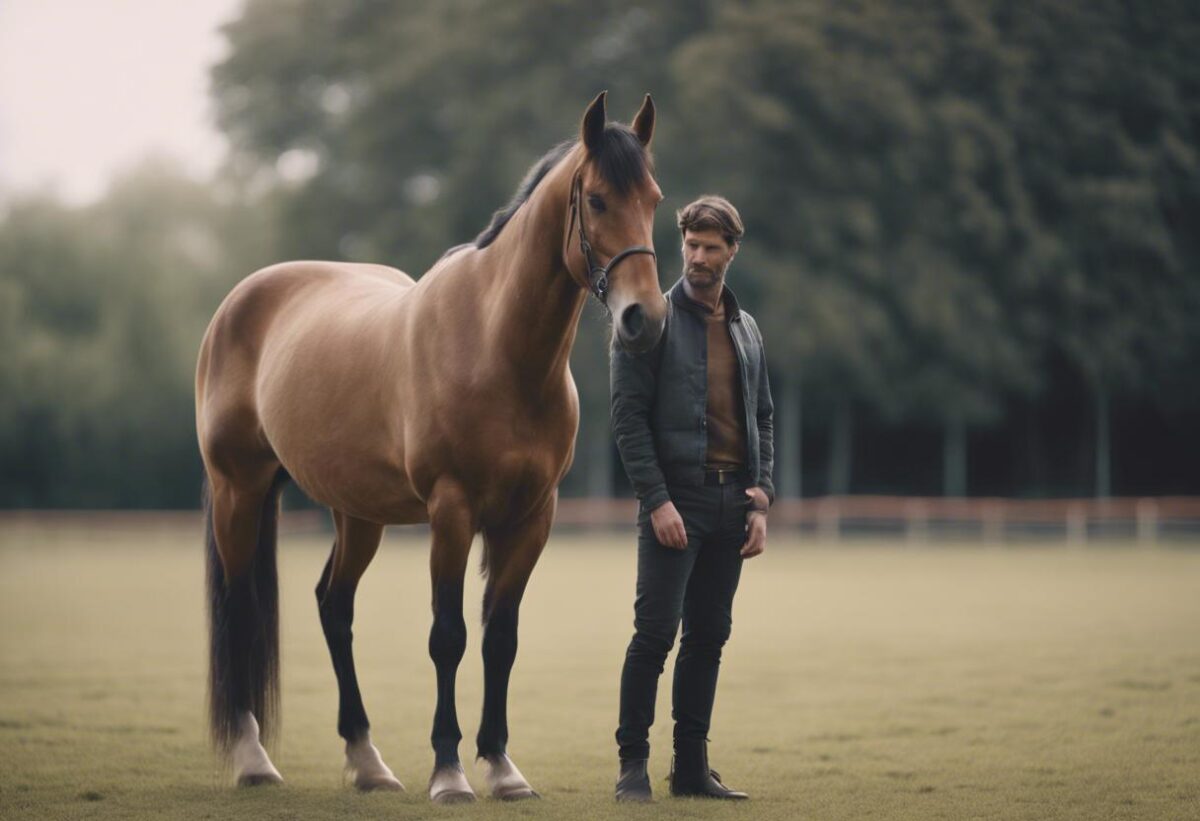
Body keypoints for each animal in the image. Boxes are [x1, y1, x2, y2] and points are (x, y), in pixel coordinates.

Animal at [194, 92, 666, 802]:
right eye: (600, 200)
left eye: (655, 199)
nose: (646, 319)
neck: (497, 348)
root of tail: (239, 301)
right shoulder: (452, 511)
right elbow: (449, 636)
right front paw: (449, 772)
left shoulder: (533, 517)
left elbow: (501, 638)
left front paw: (502, 766)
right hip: (238, 491)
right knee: (244, 613)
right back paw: (254, 759)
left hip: (356, 513)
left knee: (334, 608)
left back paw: (368, 761)